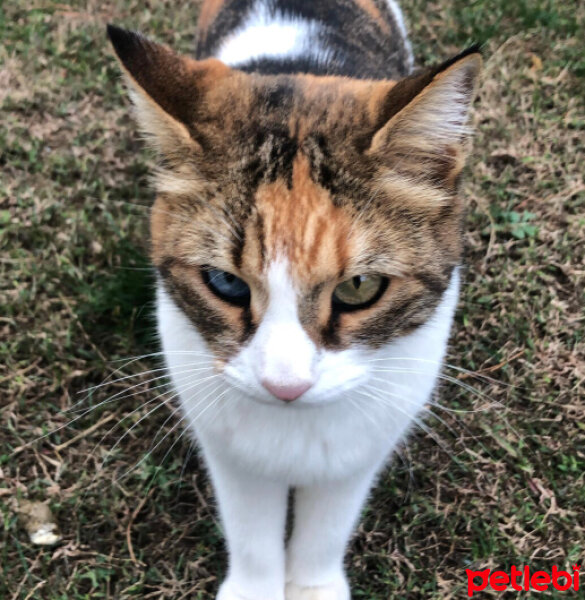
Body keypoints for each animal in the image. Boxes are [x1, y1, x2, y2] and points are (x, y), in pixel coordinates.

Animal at [106, 2, 480, 596]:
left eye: (359, 287)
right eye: (226, 283)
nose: (286, 385)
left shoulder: (363, 441)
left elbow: (327, 525)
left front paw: (313, 585)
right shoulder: (227, 442)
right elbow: (251, 528)